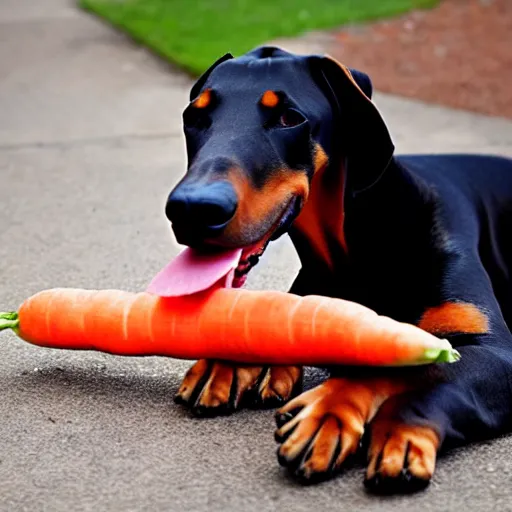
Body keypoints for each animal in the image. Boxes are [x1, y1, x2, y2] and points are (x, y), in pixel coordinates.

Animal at [163, 47, 512, 492]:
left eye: (289, 118)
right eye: (194, 116)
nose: (192, 208)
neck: (363, 245)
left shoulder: (496, 352)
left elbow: (420, 365)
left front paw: (332, 408)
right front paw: (230, 359)